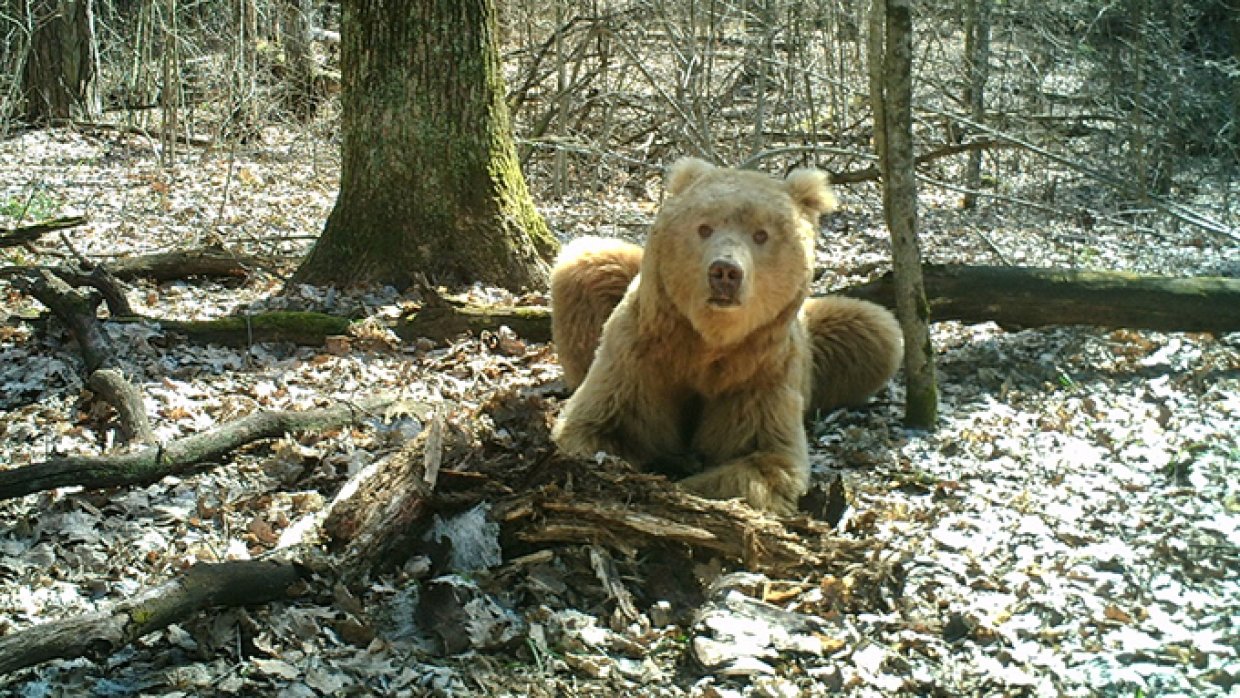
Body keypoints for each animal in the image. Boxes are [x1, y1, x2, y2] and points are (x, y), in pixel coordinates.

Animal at [553, 159, 902, 518]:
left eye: (761, 234)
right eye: (704, 227)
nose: (725, 272)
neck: (708, 340)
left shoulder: (760, 373)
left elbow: (763, 460)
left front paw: (691, 487)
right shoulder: (641, 354)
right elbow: (596, 426)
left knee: (877, 332)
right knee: (588, 261)